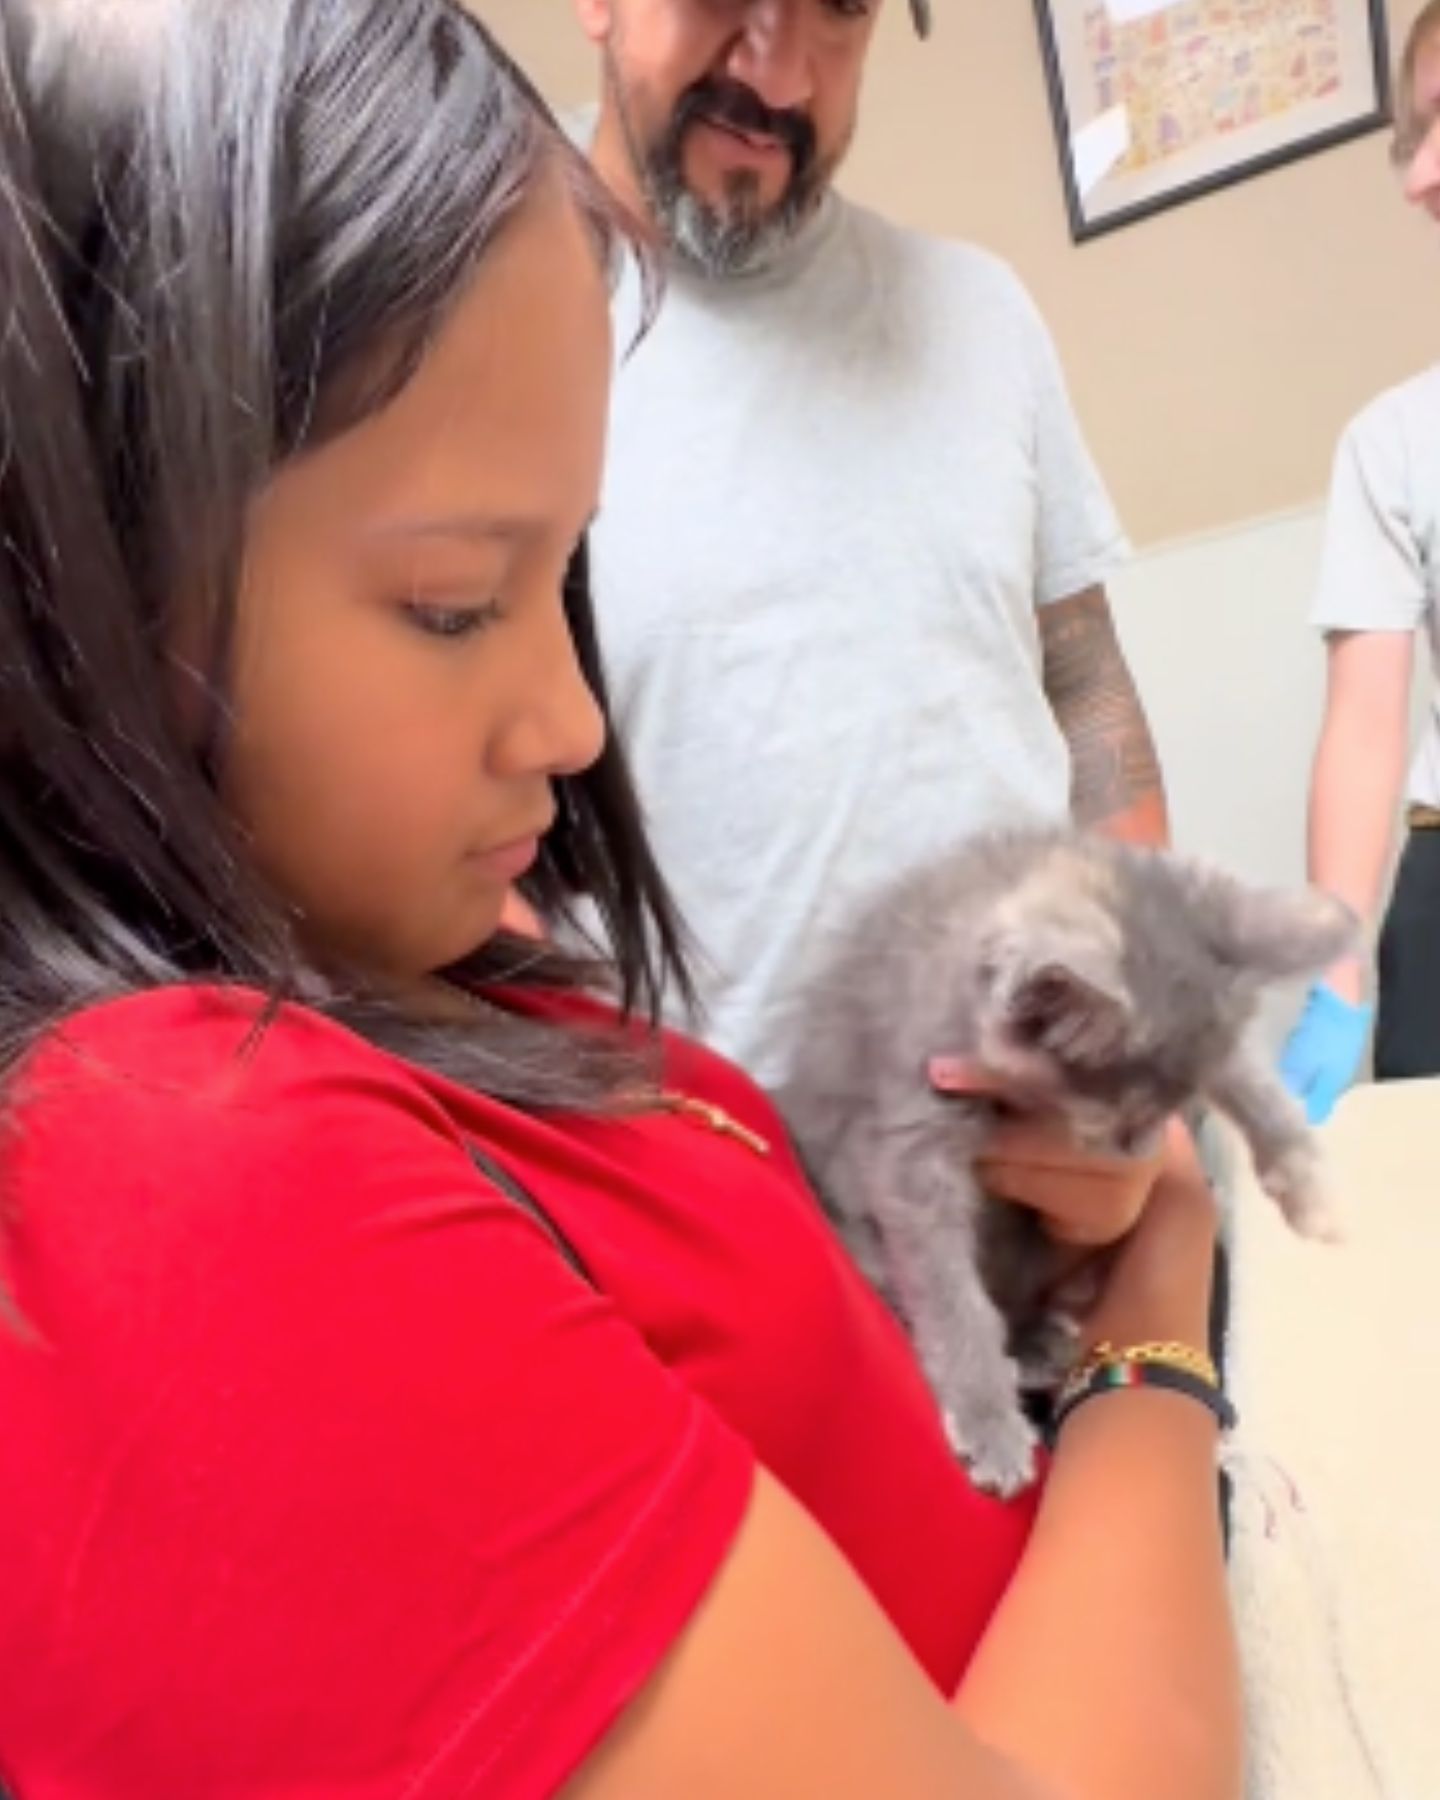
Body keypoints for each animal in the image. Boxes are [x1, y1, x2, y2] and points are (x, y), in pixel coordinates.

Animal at [770, 831, 1353, 1504]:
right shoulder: (910, 1140)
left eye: (1172, 1109)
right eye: (1116, 1121)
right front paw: (986, 1417)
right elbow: (951, 1294)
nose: (1142, 1150)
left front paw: (1311, 1186)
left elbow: (1255, 1085)